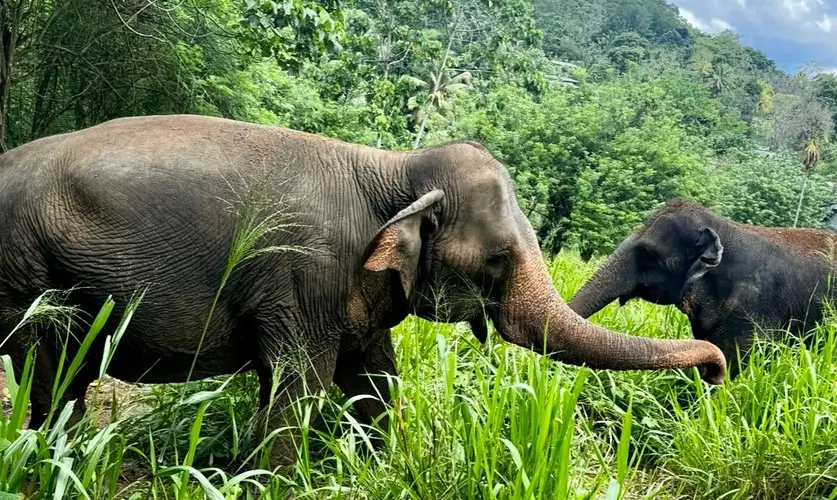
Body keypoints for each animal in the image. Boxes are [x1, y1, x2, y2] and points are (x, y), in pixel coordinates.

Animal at [0, 115, 727, 467]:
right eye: (498, 257)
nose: (717, 372)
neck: (390, 168)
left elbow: (374, 380)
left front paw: (380, 466)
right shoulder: (302, 272)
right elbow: (299, 388)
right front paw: (276, 480)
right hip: (30, 272)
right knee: (50, 371)